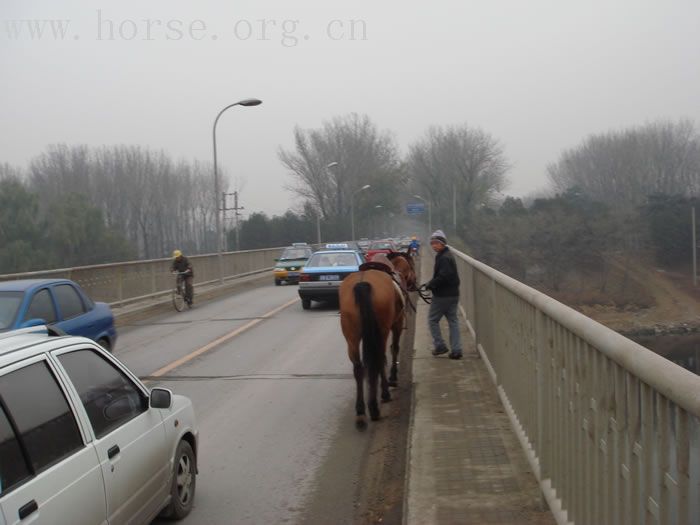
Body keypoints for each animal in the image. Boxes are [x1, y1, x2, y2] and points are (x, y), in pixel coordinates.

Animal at [340, 252, 416, 428]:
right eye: (412, 266)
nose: (414, 283)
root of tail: (362, 284)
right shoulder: (396, 323)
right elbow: (394, 348)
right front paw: (392, 378)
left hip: (351, 335)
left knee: (359, 368)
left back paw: (361, 411)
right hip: (382, 330)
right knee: (379, 358)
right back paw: (378, 402)